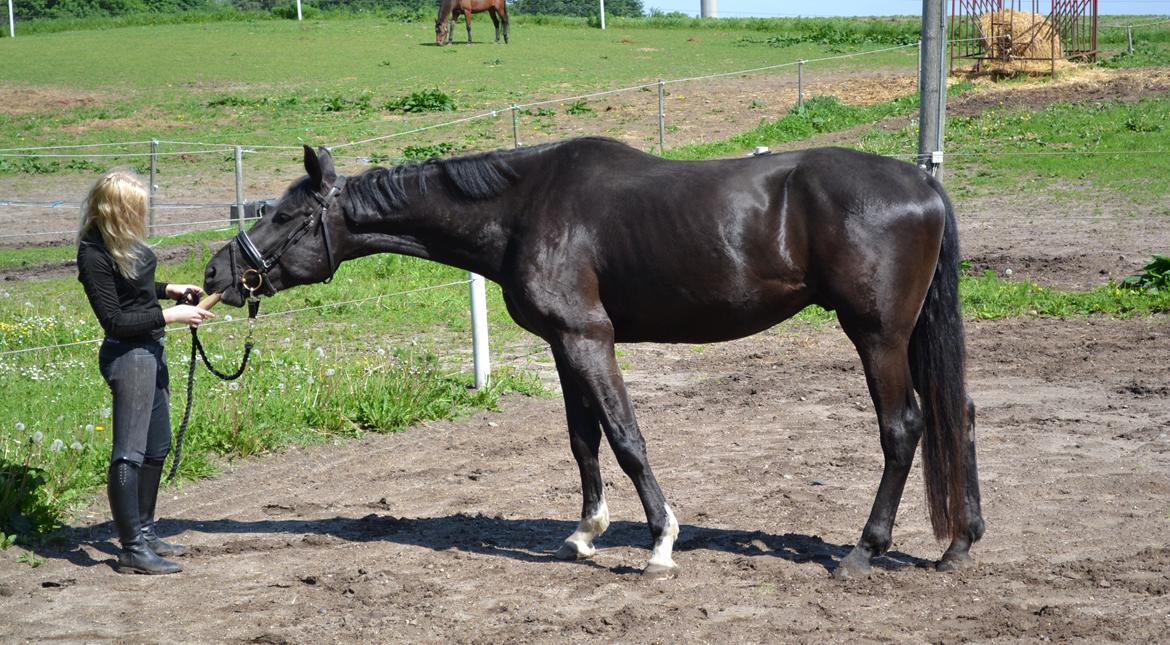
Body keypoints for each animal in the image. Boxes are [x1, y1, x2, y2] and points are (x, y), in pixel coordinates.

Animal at [205, 136, 982, 580]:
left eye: (286, 216)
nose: (217, 273)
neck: (523, 208)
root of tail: (923, 185)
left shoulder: (589, 338)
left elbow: (627, 438)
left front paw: (661, 542)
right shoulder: (562, 343)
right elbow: (584, 440)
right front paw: (585, 533)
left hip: (877, 335)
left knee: (904, 427)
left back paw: (865, 551)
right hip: (909, 336)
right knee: (959, 416)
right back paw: (959, 544)